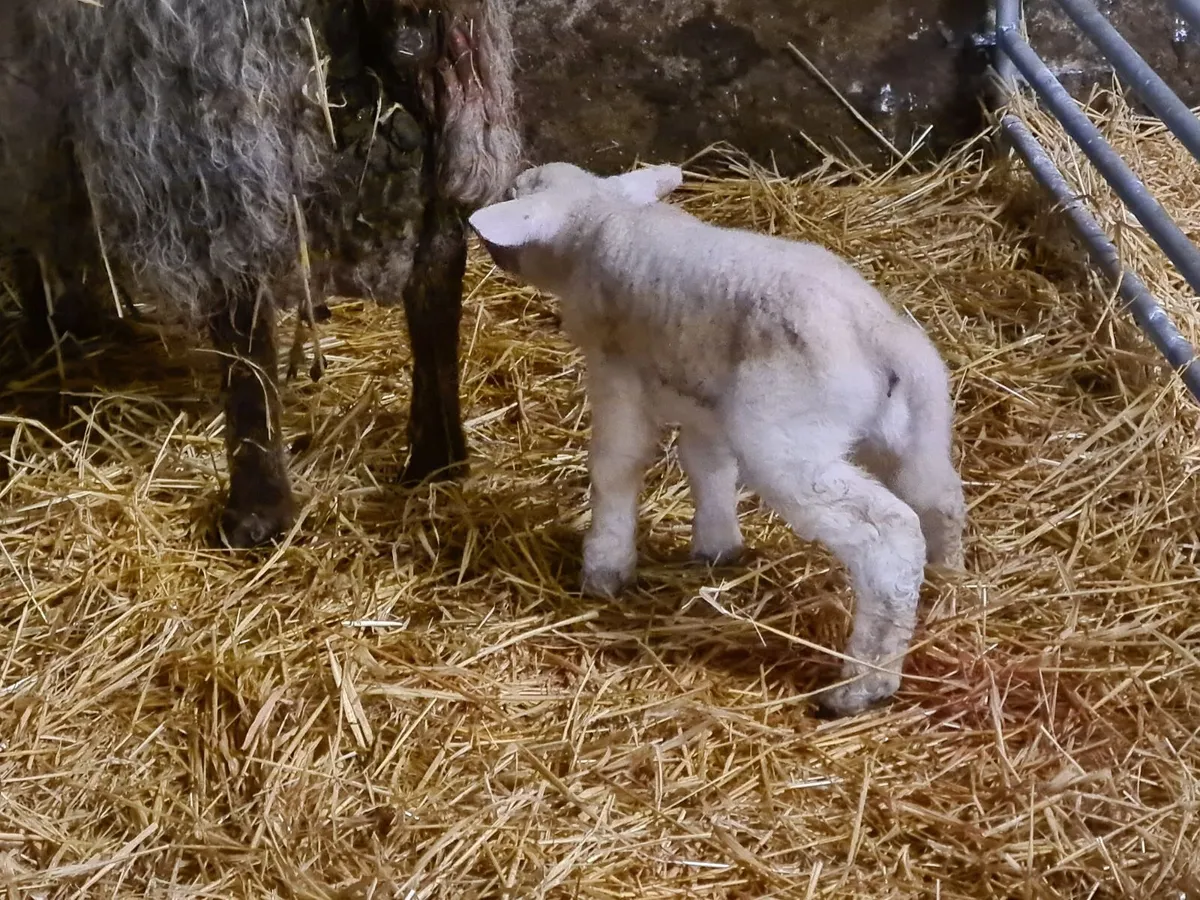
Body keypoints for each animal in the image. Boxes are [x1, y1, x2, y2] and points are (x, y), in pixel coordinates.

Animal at [0, 0, 521, 548]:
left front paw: (53, 334)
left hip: (202, 86)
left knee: (239, 295)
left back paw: (256, 512)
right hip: (455, 85)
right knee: (437, 262)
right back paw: (436, 461)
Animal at [467, 161, 967, 717]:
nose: (486, 246)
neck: (601, 219)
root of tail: (881, 336)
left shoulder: (616, 370)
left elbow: (616, 464)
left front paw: (605, 566)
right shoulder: (701, 389)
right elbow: (707, 462)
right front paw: (716, 546)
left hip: (785, 435)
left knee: (888, 534)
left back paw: (862, 685)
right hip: (917, 427)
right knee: (940, 499)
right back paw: (947, 591)